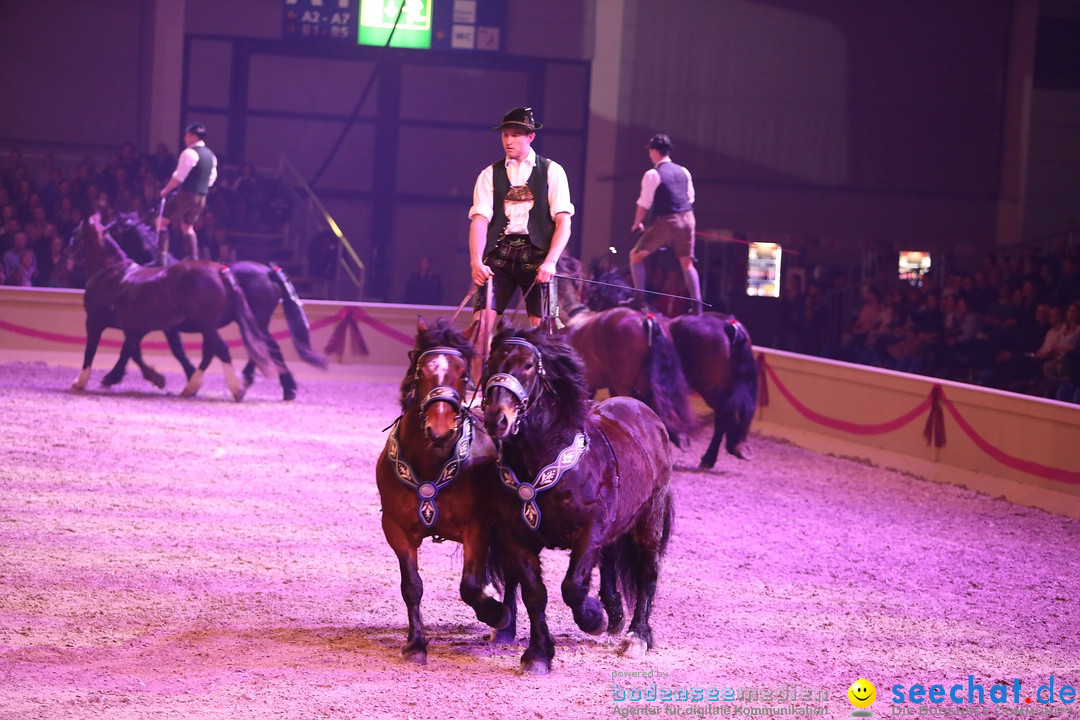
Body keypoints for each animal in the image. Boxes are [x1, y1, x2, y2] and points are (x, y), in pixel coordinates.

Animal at [67, 216, 276, 403]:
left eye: (77, 235)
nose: (67, 253)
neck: (112, 273)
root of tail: (222, 271)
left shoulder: (94, 321)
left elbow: (91, 350)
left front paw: (80, 381)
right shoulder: (135, 327)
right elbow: (134, 352)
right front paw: (155, 377)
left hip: (208, 325)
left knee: (222, 350)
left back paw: (235, 388)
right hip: (212, 327)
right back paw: (195, 386)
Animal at [483, 325, 673, 677]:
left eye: (528, 365)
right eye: (491, 362)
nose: (497, 419)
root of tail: (645, 413)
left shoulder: (589, 531)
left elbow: (572, 586)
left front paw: (593, 617)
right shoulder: (517, 538)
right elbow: (535, 594)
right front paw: (538, 656)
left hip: (650, 520)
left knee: (647, 573)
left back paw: (636, 637)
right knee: (610, 559)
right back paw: (614, 614)